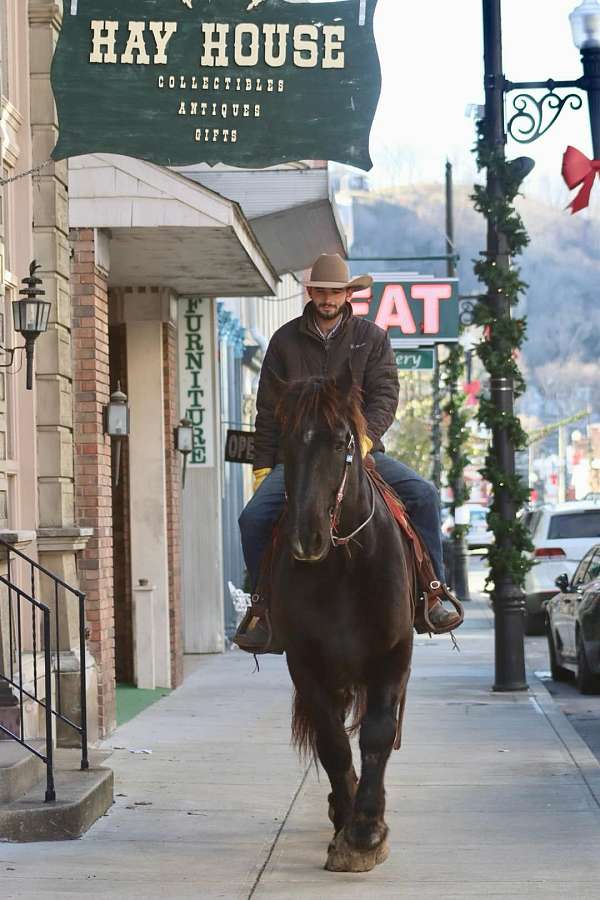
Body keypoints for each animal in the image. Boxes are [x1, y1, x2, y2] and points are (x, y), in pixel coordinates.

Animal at [270, 372, 414, 872]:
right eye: (285, 441)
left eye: (340, 442)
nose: (305, 537)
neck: (344, 565)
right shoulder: (304, 663)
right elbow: (332, 742)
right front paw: (348, 826)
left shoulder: (393, 655)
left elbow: (377, 733)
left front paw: (367, 831)